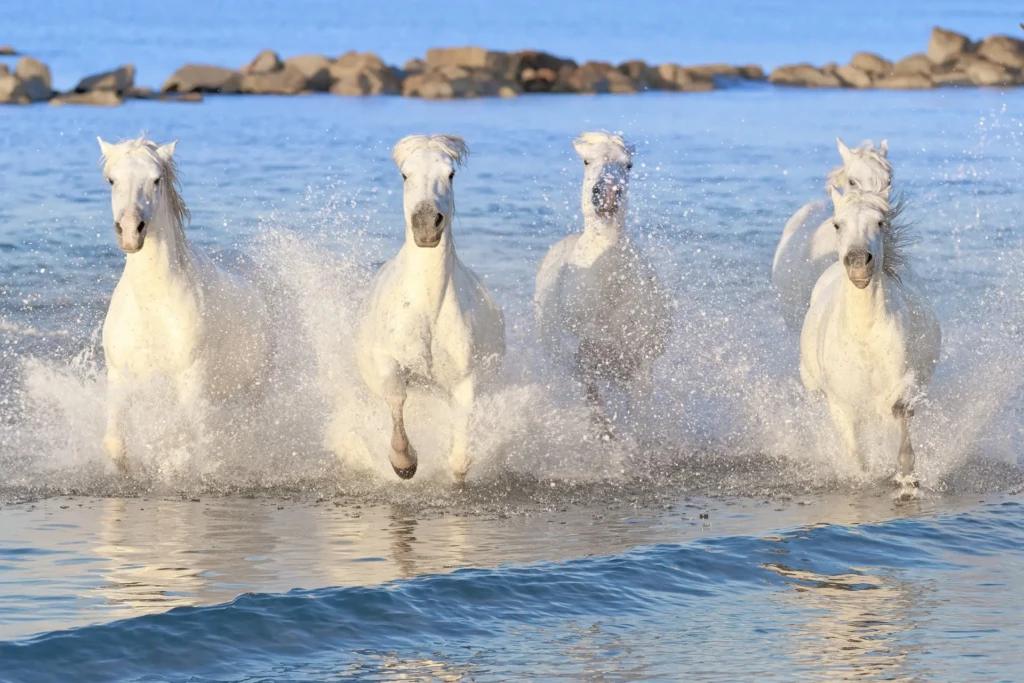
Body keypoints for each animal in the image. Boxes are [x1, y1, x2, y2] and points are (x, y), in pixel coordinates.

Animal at [98, 136, 271, 470]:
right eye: (112, 179)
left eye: (156, 179)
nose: (131, 231)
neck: (152, 305)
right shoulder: (119, 375)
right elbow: (114, 445)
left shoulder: (189, 379)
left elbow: (186, 446)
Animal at [354, 134, 505, 482]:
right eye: (404, 175)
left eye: (450, 174)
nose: (426, 225)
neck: (427, 311)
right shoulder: (387, 358)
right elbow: (396, 397)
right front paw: (403, 462)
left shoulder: (465, 379)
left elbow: (461, 456)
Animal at [534, 132, 671, 434]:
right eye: (586, 161)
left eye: (629, 165)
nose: (607, 193)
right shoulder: (580, 365)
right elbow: (596, 410)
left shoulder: (640, 363)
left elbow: (638, 419)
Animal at [799, 186, 941, 498]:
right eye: (837, 224)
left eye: (880, 222)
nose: (857, 263)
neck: (863, 336)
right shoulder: (841, 404)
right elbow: (856, 452)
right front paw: (863, 480)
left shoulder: (904, 383)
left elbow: (900, 412)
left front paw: (907, 480)